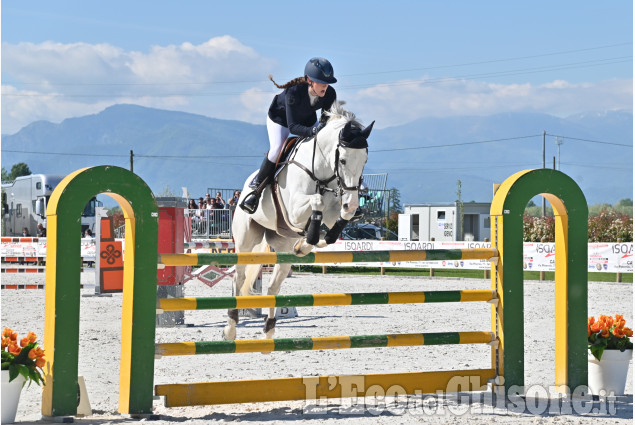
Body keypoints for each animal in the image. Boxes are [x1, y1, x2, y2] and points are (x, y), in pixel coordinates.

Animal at [224, 102, 372, 338]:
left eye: (365, 160)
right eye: (342, 160)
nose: (351, 202)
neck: (322, 172)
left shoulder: (333, 212)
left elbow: (337, 221)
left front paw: (310, 242)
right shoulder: (294, 210)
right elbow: (317, 201)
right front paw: (310, 238)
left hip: (283, 248)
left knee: (273, 287)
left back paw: (269, 330)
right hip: (246, 241)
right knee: (238, 278)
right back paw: (230, 329)